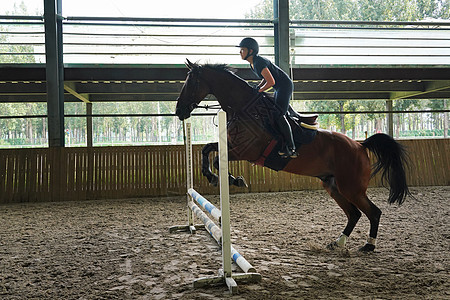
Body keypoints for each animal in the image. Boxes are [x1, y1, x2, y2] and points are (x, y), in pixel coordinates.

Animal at [176, 59, 412, 252]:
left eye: (191, 83)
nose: (179, 112)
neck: (243, 109)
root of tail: (360, 145)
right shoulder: (231, 146)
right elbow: (206, 149)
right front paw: (213, 177)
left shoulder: (246, 151)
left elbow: (216, 158)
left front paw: (231, 179)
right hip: (333, 185)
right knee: (354, 214)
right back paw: (338, 242)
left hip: (351, 187)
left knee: (373, 212)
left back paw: (369, 245)